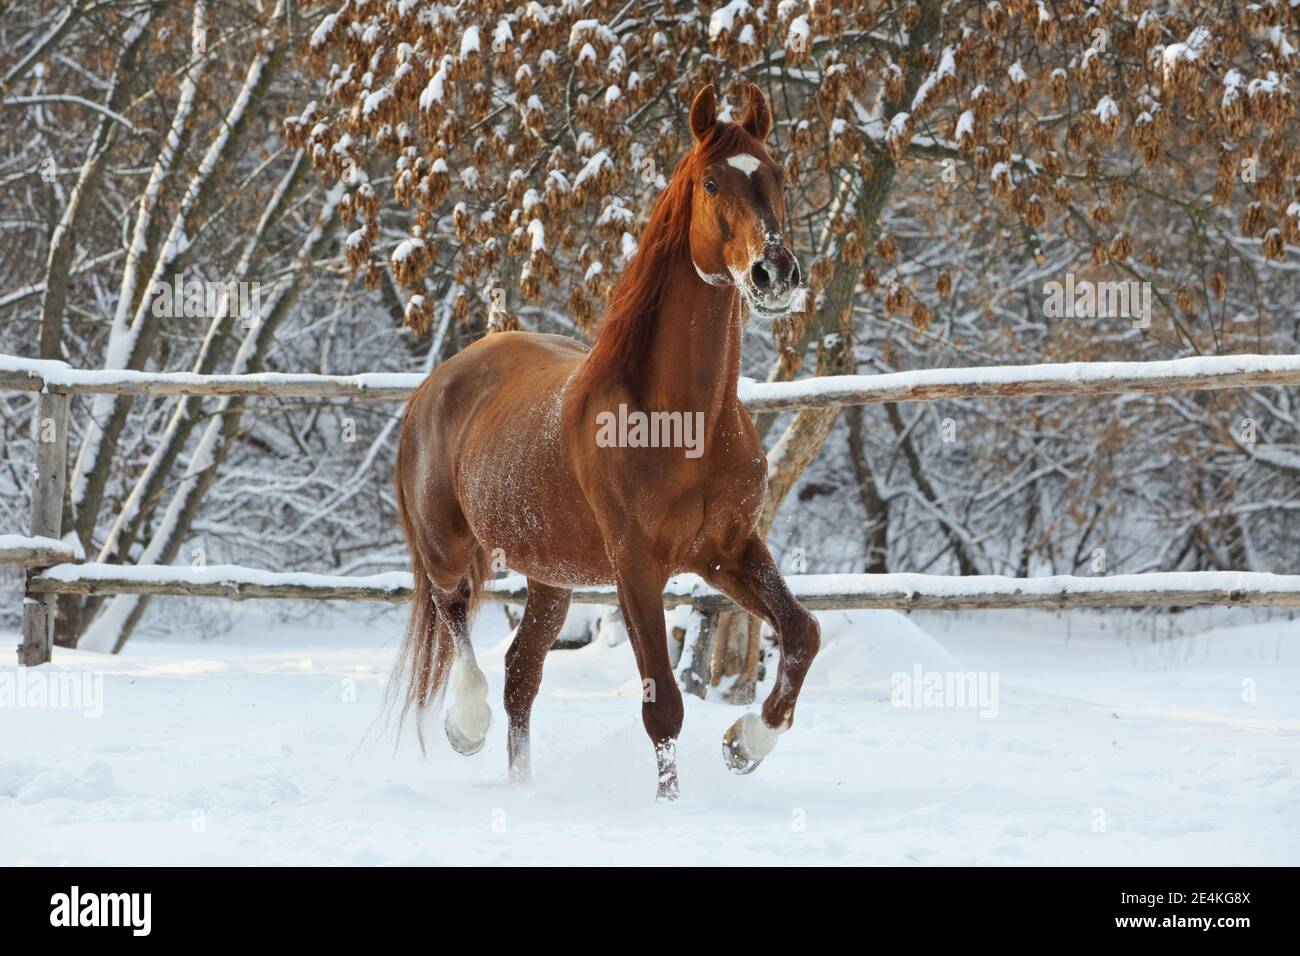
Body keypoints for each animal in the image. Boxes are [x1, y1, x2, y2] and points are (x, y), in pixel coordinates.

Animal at [397, 82, 821, 801]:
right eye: (711, 182)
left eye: (778, 175)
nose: (775, 272)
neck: (680, 421)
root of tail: (435, 384)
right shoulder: (635, 564)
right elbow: (664, 705)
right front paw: (670, 804)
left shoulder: (727, 553)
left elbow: (801, 632)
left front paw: (744, 745)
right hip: (448, 547)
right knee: (454, 616)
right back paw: (466, 725)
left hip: (551, 576)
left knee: (521, 674)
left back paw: (522, 785)